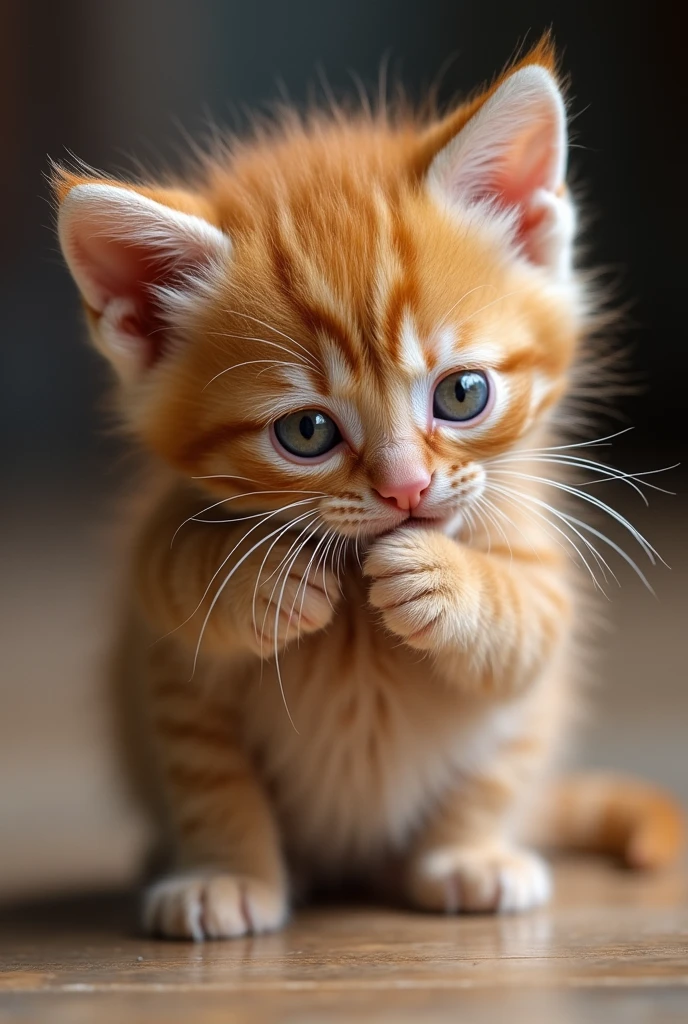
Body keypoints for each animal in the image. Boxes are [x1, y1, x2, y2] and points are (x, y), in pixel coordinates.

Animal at [53, 37, 683, 937]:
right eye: (307, 433)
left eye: (463, 393)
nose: (406, 489)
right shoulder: (162, 616)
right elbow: (181, 622)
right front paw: (226, 873)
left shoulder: (538, 562)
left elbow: (528, 616)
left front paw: (439, 577)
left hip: (522, 735)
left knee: (492, 778)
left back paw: (469, 860)